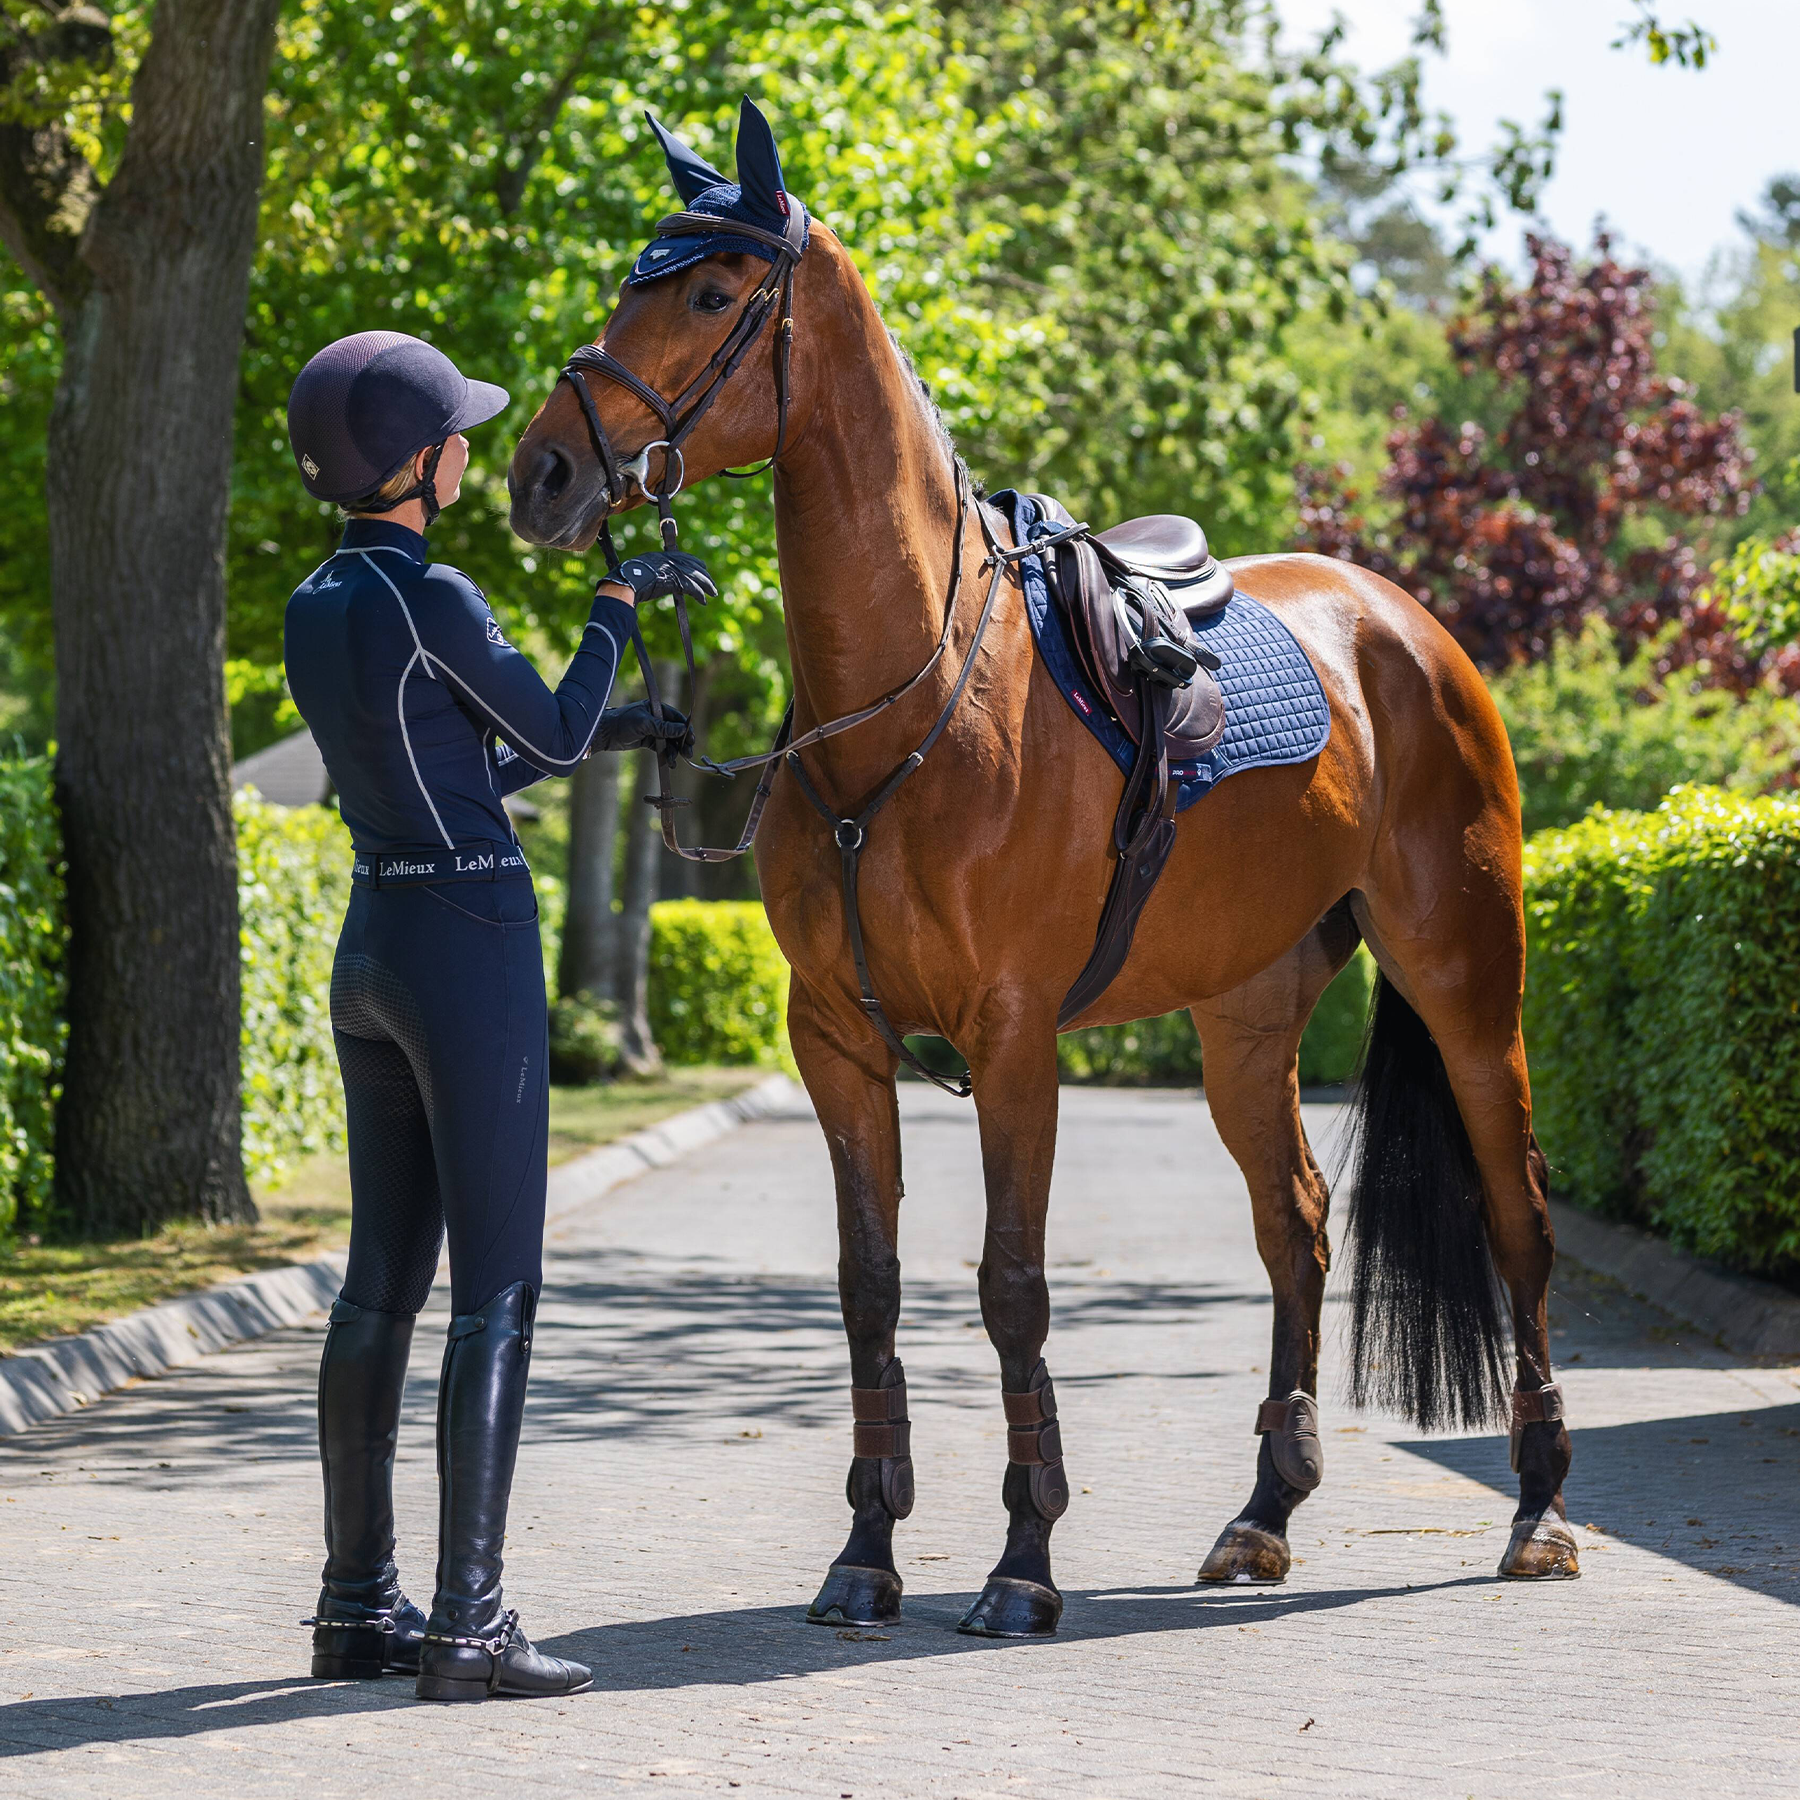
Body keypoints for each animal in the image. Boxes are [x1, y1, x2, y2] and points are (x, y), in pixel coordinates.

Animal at [507, 105, 1576, 1641]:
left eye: (710, 293)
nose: (541, 473)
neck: (907, 707)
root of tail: (1407, 629)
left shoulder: (1013, 1040)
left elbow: (1012, 1286)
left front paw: (1022, 1561)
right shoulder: (836, 1040)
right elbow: (870, 1288)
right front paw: (867, 1553)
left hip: (1467, 986)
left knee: (1518, 1215)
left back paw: (1538, 1513)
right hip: (1244, 1019)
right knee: (1297, 1231)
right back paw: (1263, 1515)